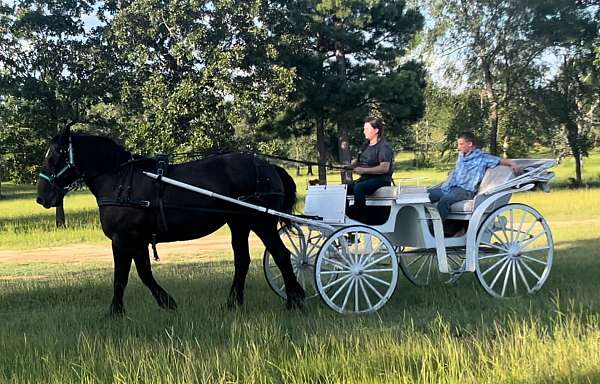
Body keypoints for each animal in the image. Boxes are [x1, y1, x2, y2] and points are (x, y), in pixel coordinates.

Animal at [37, 127, 304, 314]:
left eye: (55, 156)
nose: (42, 197)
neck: (120, 180)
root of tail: (267, 166)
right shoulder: (138, 240)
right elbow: (143, 273)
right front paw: (166, 303)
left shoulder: (123, 239)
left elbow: (121, 276)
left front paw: (115, 311)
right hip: (239, 224)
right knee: (242, 261)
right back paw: (233, 303)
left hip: (261, 222)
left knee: (281, 255)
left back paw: (294, 300)